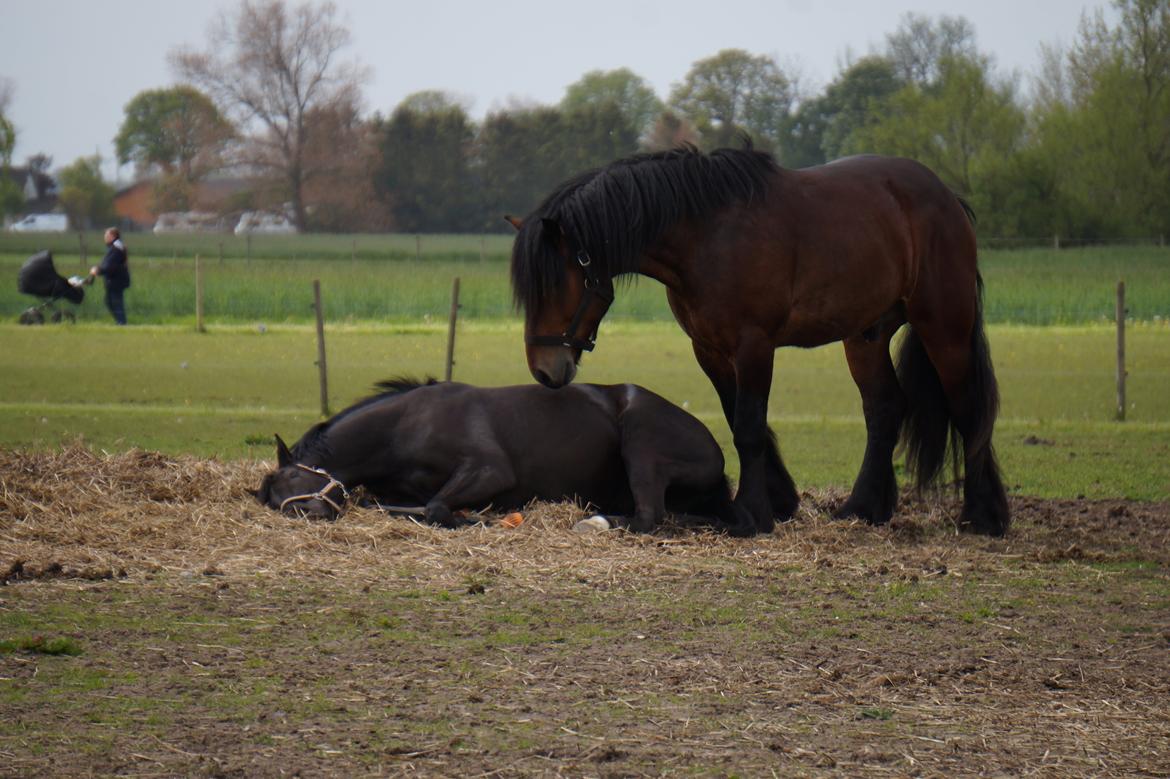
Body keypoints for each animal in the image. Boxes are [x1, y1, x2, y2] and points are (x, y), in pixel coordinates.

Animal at [251, 376, 753, 533]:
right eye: (276, 503)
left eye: (294, 480)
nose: (309, 515)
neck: (403, 427)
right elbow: (404, 505)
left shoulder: (489, 469)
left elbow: (436, 507)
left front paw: (477, 518)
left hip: (642, 444)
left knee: (650, 518)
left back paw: (593, 520)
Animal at [507, 142, 1010, 533]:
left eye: (555, 283)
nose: (544, 370)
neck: (706, 236)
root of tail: (947, 197)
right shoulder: (709, 350)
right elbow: (738, 420)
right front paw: (779, 500)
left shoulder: (753, 345)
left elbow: (749, 426)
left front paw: (752, 513)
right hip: (866, 335)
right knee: (884, 408)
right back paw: (863, 508)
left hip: (944, 326)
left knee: (967, 408)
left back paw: (982, 515)